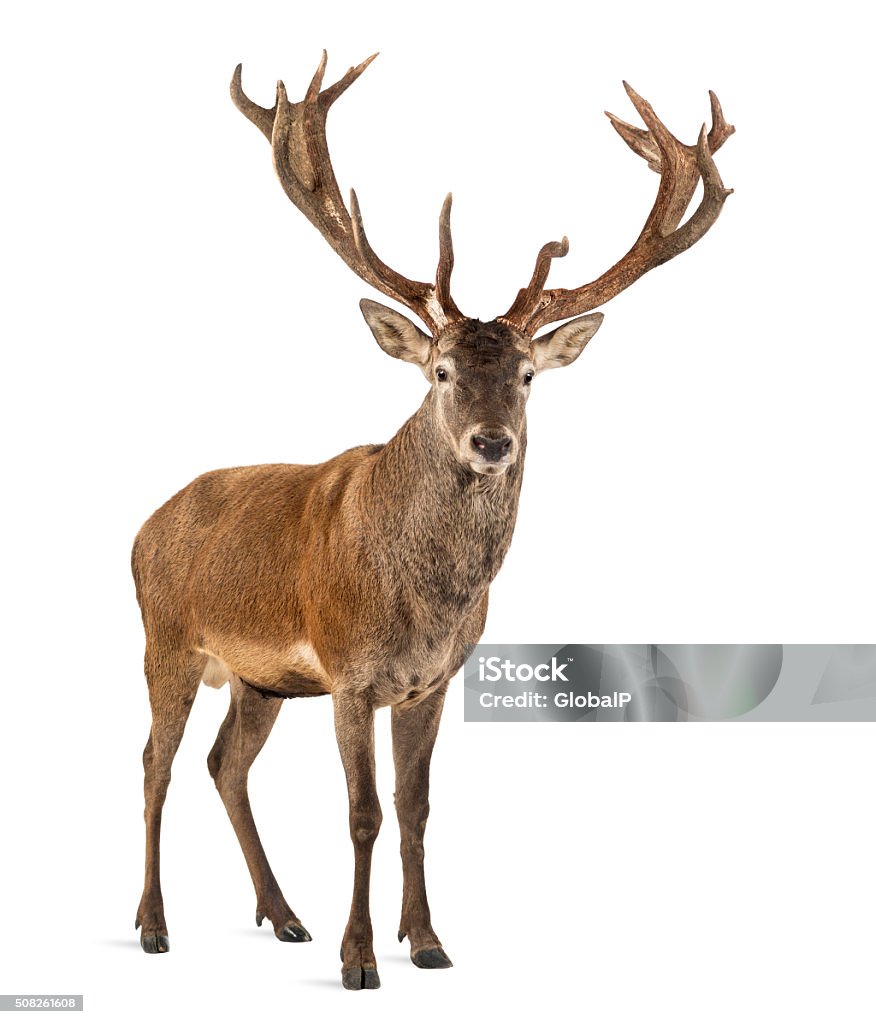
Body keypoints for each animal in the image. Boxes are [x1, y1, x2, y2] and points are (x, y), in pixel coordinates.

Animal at [130, 51, 733, 987]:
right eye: (442, 371)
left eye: (527, 375)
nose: (491, 442)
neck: (424, 603)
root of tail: (142, 526)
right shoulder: (348, 671)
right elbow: (363, 813)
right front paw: (359, 960)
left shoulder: (433, 680)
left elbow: (415, 807)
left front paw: (428, 943)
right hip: (166, 640)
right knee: (152, 765)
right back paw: (155, 926)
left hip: (261, 677)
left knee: (223, 763)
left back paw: (284, 915)